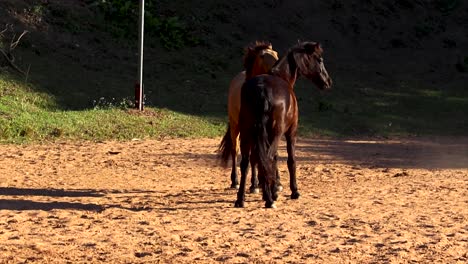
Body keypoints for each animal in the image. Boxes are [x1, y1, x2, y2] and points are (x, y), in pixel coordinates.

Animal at [225, 41, 330, 208]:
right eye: (319, 59)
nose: (327, 81)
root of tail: (262, 89)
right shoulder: (290, 133)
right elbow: (290, 160)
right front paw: (294, 191)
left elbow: (271, 160)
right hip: (267, 132)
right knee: (263, 158)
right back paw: (269, 199)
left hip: (248, 133)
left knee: (246, 162)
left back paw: (241, 199)